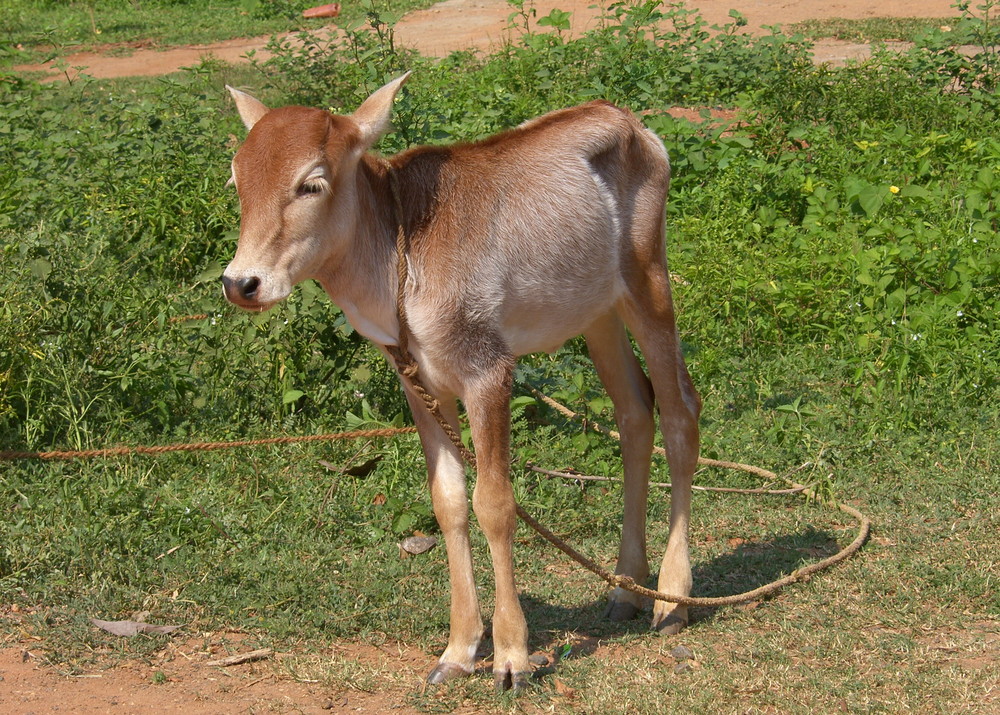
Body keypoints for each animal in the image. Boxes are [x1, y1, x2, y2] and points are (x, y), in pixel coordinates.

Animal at [222, 75, 700, 692]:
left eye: (311, 183)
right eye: (237, 180)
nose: (241, 283)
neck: (399, 260)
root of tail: (631, 122)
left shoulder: (487, 369)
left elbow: (494, 503)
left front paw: (512, 656)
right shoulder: (419, 385)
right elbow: (447, 501)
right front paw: (458, 649)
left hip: (648, 280)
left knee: (681, 410)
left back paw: (671, 599)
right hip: (597, 313)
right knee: (635, 411)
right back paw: (625, 589)